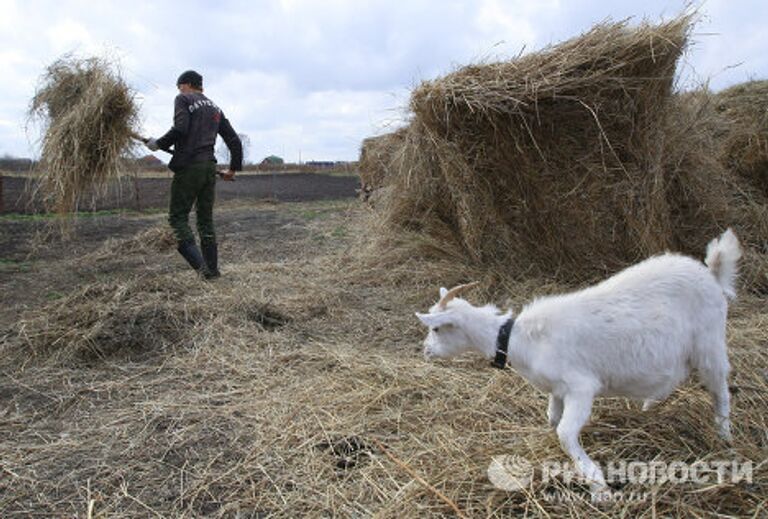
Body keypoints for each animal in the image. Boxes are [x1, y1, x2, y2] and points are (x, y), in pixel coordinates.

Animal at [416, 230, 740, 490]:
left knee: (720, 391)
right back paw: (649, 407)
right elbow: (552, 420)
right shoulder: (558, 391)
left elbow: (564, 433)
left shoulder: (581, 387)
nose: (426, 350)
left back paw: (724, 436)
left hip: (710, 344)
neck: (518, 338)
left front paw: (596, 482)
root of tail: (712, 274)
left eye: (436, 329)